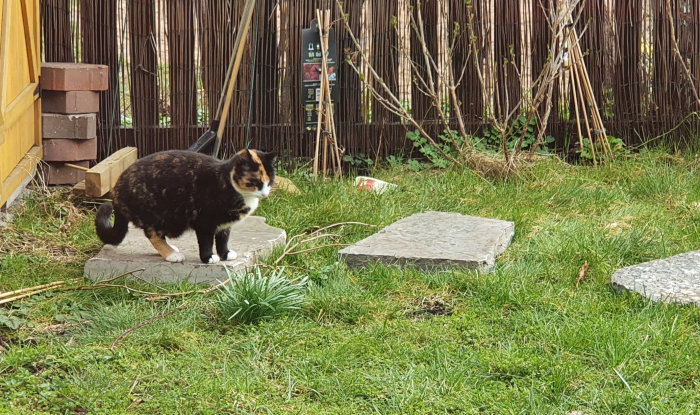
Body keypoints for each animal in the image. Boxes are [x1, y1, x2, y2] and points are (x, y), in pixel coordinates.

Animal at [95, 149, 276, 264]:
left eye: (270, 182)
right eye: (256, 182)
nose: (265, 193)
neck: (227, 183)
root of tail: (116, 189)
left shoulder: (225, 225)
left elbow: (223, 239)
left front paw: (225, 254)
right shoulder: (204, 222)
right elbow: (206, 242)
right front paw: (208, 258)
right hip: (158, 214)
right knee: (153, 235)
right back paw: (171, 255)